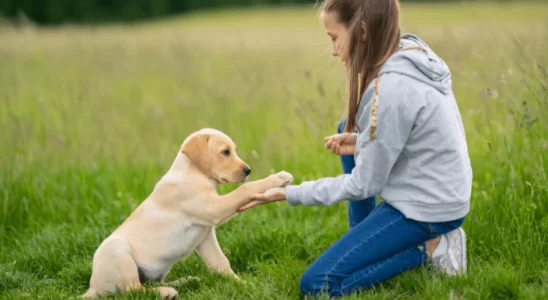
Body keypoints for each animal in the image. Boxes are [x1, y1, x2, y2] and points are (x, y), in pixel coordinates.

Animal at [81, 127, 294, 298]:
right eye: (225, 152)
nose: (248, 170)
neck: (194, 173)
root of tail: (93, 288)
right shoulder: (214, 208)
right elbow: (245, 189)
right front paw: (277, 178)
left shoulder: (206, 236)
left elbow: (221, 263)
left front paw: (243, 285)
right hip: (116, 251)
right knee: (132, 290)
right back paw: (167, 292)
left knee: (146, 284)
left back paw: (186, 280)